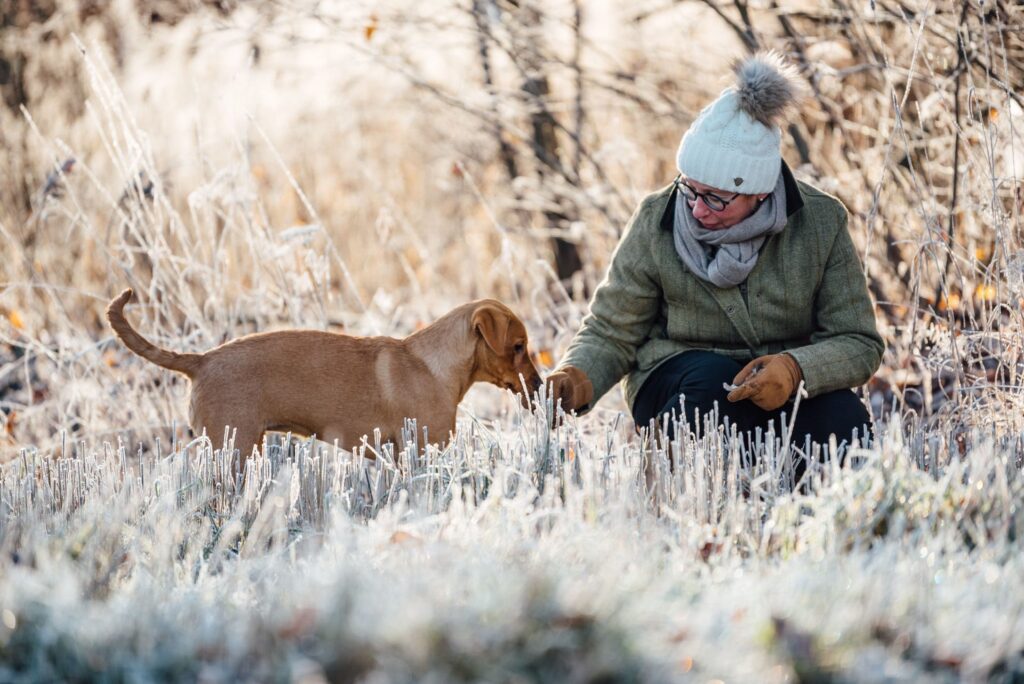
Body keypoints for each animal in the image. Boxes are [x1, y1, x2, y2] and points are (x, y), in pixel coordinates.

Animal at [105, 286, 544, 456]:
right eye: (518, 347)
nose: (540, 386)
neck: (434, 366)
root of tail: (202, 359)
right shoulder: (421, 449)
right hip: (235, 449)